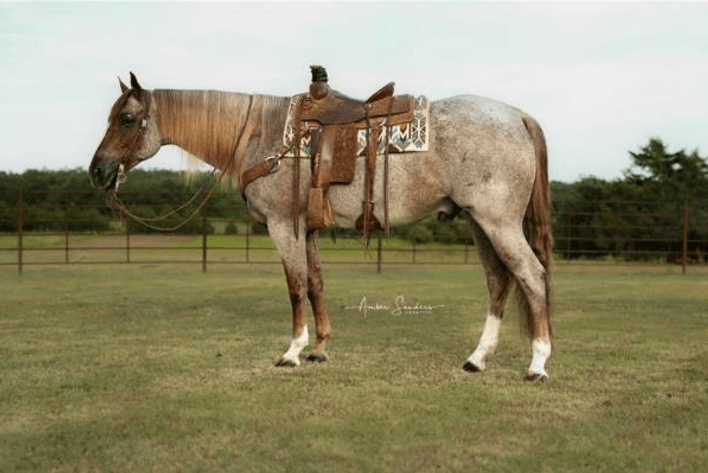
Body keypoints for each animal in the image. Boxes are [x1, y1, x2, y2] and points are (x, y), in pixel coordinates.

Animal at [89, 72, 553, 381]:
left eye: (126, 118)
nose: (97, 171)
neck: (259, 135)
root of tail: (518, 116)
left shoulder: (283, 226)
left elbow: (295, 286)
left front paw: (293, 351)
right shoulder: (306, 228)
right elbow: (314, 283)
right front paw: (321, 348)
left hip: (498, 223)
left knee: (531, 275)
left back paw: (538, 363)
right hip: (478, 221)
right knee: (499, 280)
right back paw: (477, 358)